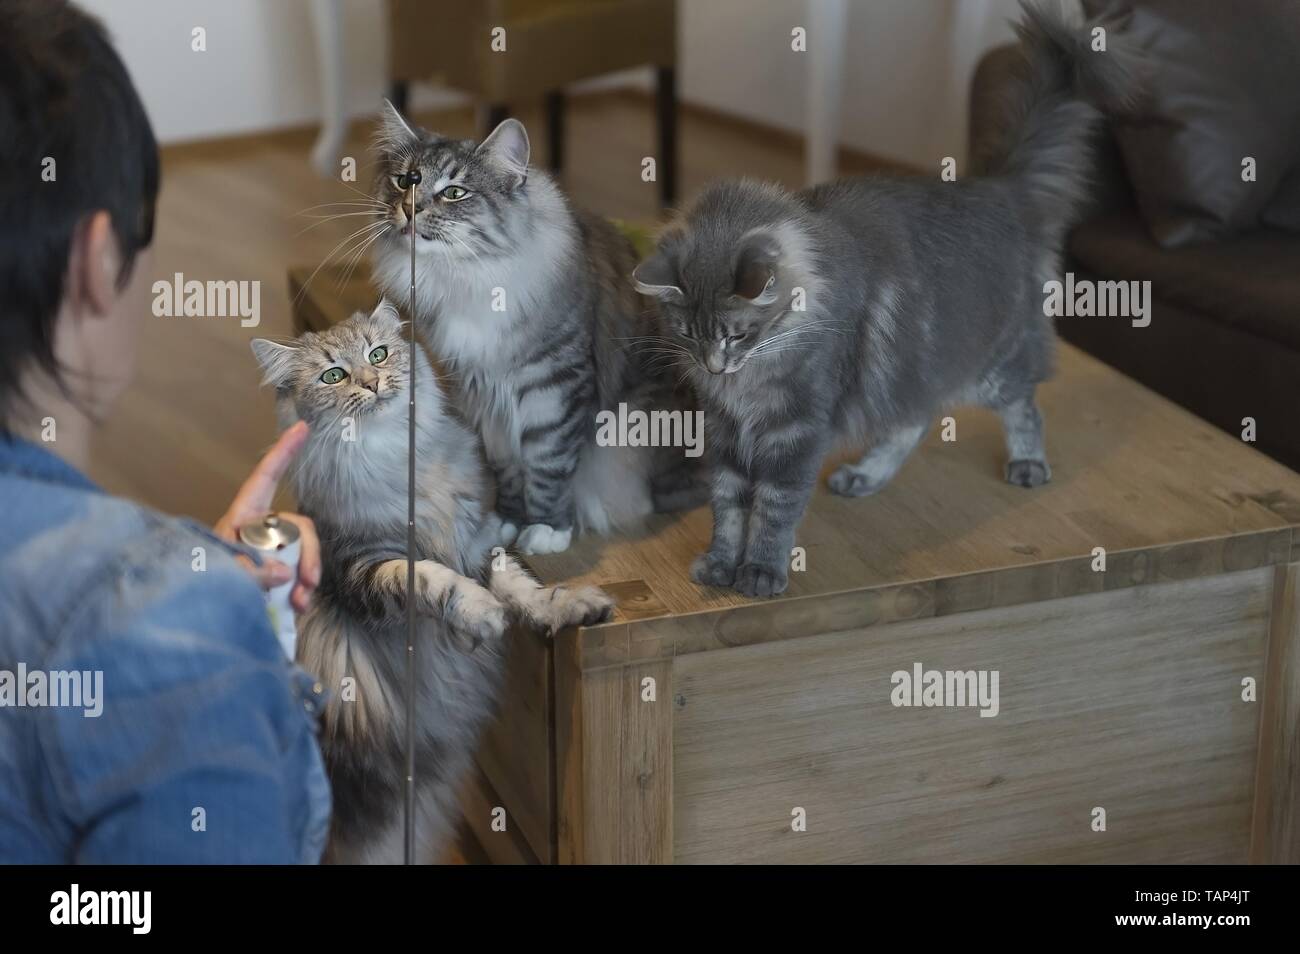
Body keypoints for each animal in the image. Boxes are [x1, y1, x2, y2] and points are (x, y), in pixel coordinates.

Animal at [250, 304, 611, 868]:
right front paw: (483, 615)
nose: (372, 382)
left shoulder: (478, 539)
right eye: (334, 375)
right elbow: (431, 579)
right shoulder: (363, 568)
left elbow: (522, 586)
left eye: (378, 353)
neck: (396, 465)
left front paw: (569, 605)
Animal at [366, 108, 702, 556]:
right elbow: (508, 468)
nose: (409, 209)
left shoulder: (553, 386)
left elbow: (548, 464)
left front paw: (547, 529)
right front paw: (507, 520)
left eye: (454, 192)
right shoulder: (482, 395)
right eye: (405, 181)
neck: (467, 278)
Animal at [634, 1, 1133, 597]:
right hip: (907, 372)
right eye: (687, 333)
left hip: (987, 365)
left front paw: (759, 573)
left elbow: (773, 513)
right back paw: (864, 476)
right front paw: (718, 566)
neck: (749, 383)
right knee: (911, 421)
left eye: (737, 333)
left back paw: (1028, 464)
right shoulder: (727, 433)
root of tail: (997, 189)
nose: (715, 366)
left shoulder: (797, 432)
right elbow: (729, 509)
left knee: (1023, 406)